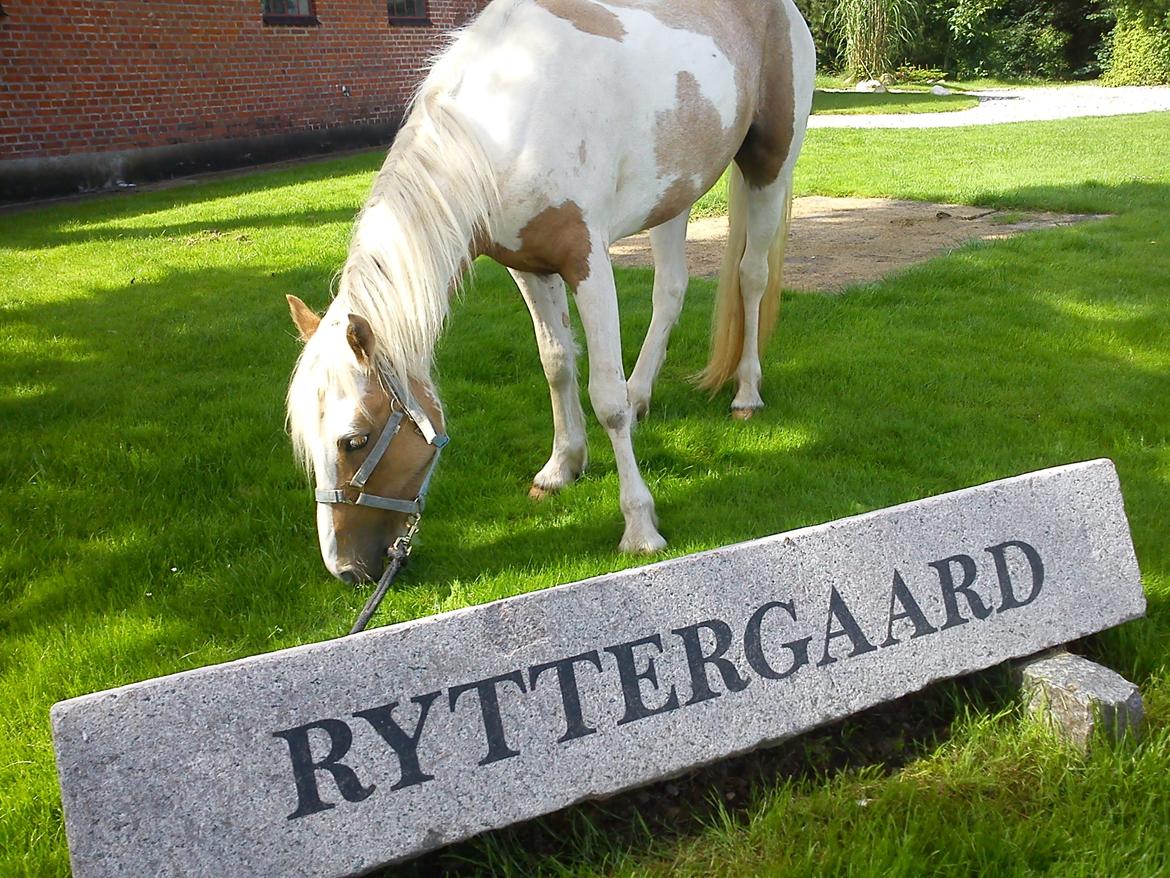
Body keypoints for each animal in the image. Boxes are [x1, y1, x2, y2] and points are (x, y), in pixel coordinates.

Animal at [285, 0, 814, 585]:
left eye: (354, 439)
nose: (345, 569)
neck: (506, 123)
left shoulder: (588, 262)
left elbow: (606, 398)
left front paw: (640, 528)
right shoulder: (530, 268)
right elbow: (557, 363)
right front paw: (561, 467)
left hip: (769, 166)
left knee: (751, 276)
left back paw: (746, 393)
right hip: (672, 195)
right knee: (670, 291)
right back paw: (643, 393)